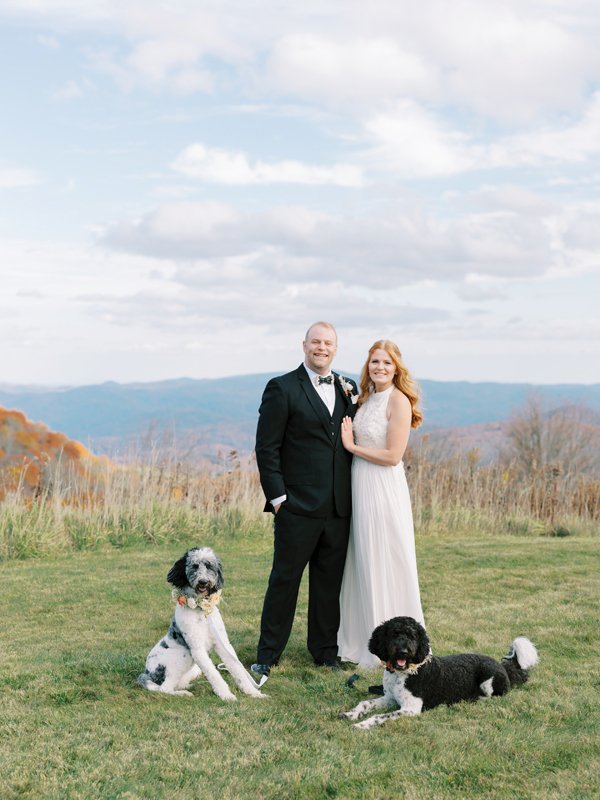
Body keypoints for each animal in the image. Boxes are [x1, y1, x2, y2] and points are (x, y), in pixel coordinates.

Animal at [139, 548, 266, 704]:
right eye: (194, 566)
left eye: (209, 566)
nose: (203, 582)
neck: (201, 611)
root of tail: (146, 673)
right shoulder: (197, 650)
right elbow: (214, 674)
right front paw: (226, 695)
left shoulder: (223, 644)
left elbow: (237, 669)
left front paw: (253, 693)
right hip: (183, 656)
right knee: (164, 689)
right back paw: (184, 694)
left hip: (194, 669)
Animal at [340, 616, 540, 728]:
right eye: (394, 634)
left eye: (413, 636)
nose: (404, 651)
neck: (404, 673)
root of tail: (503, 666)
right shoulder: (390, 698)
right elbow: (365, 703)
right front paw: (351, 714)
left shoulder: (411, 708)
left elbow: (380, 716)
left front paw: (363, 724)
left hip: (488, 680)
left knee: (496, 696)